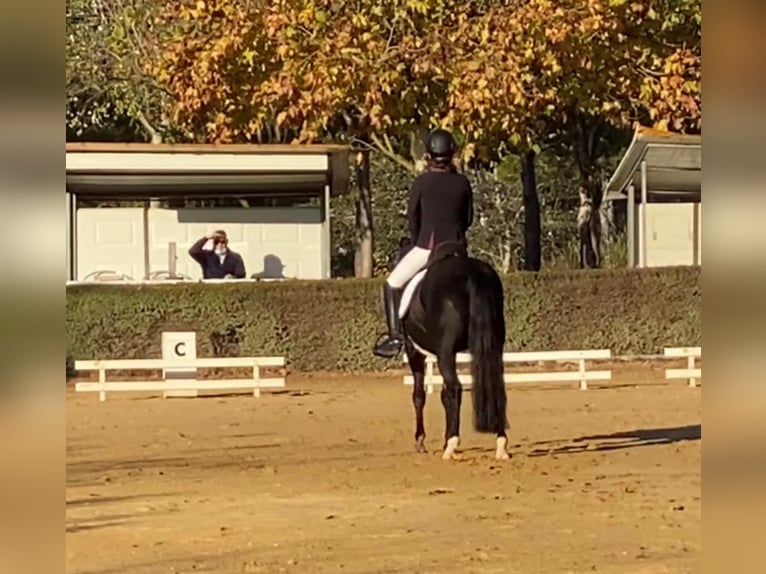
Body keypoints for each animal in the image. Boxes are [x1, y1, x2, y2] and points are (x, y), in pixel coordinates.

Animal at [396, 241, 510, 462]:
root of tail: (472, 273)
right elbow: (440, 394)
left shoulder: (414, 350)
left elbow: (419, 395)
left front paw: (420, 440)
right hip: (493, 346)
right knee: (495, 386)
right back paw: (501, 445)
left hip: (444, 352)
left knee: (454, 388)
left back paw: (451, 446)